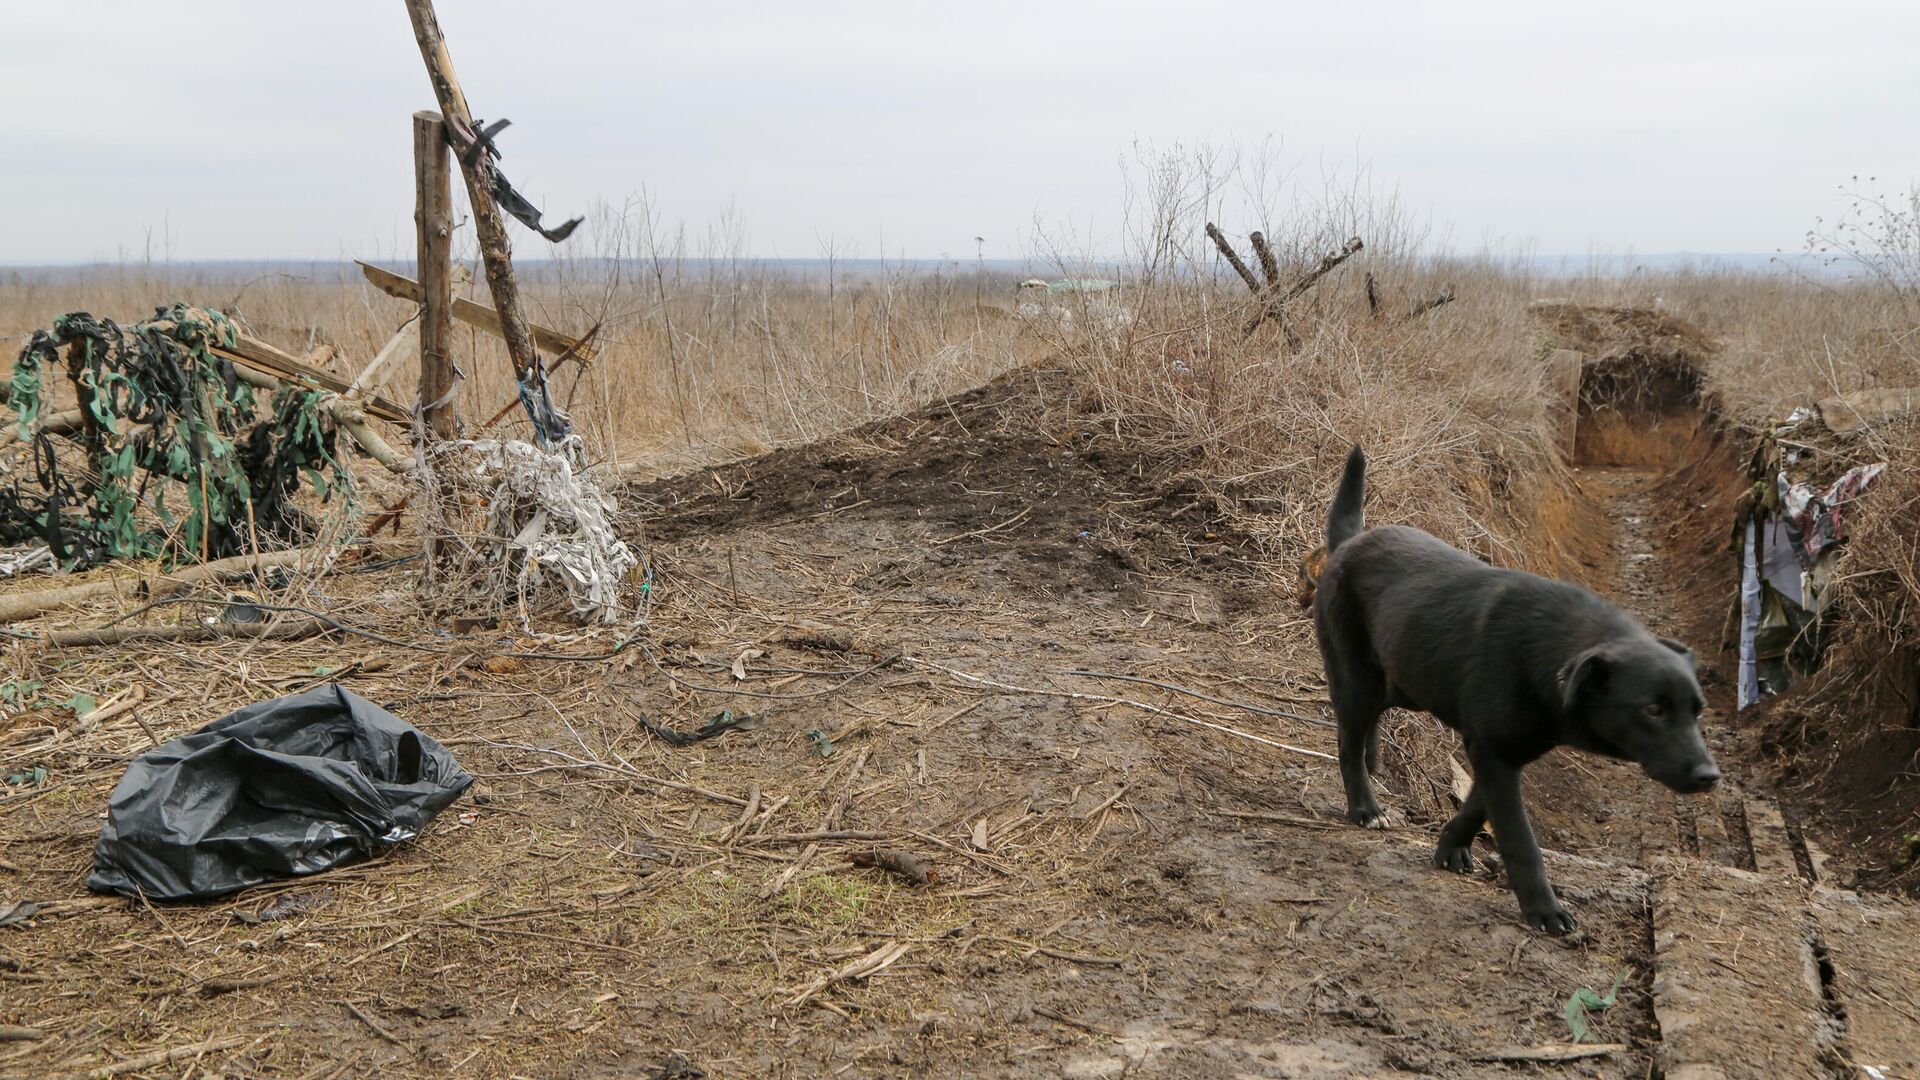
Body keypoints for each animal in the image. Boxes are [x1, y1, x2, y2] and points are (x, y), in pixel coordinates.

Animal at [1313, 441, 1720, 930]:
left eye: (1698, 711)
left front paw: (1451, 846)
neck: (1551, 662)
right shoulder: (1493, 751)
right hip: (1358, 678)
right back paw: (1365, 807)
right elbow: (1520, 838)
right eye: (1653, 710)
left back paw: (1375, 764)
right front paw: (1544, 909)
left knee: (1369, 725)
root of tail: (1349, 543)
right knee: (1346, 742)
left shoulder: (1502, 751)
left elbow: (1477, 807)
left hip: (1405, 679)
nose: (1709, 776)